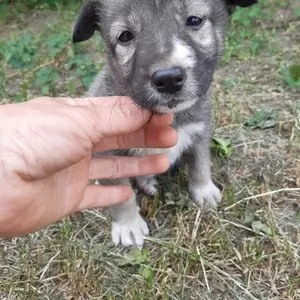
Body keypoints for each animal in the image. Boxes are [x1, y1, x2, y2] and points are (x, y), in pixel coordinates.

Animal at [72, 0, 258, 247]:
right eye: (125, 36)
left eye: (194, 20)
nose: (168, 79)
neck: (168, 117)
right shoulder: (108, 152)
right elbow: (121, 193)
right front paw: (128, 225)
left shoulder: (200, 130)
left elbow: (200, 163)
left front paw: (204, 190)